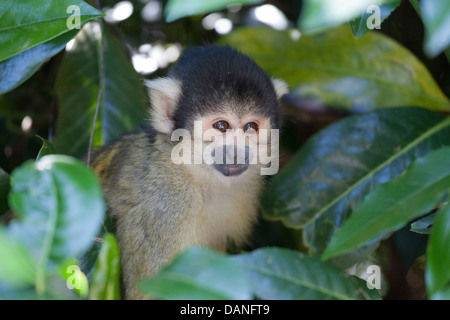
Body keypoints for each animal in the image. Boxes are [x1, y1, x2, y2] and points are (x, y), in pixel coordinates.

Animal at [89, 45, 286, 300]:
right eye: (221, 126)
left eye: (250, 127)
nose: (237, 151)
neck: (196, 174)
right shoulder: (168, 206)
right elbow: (146, 291)